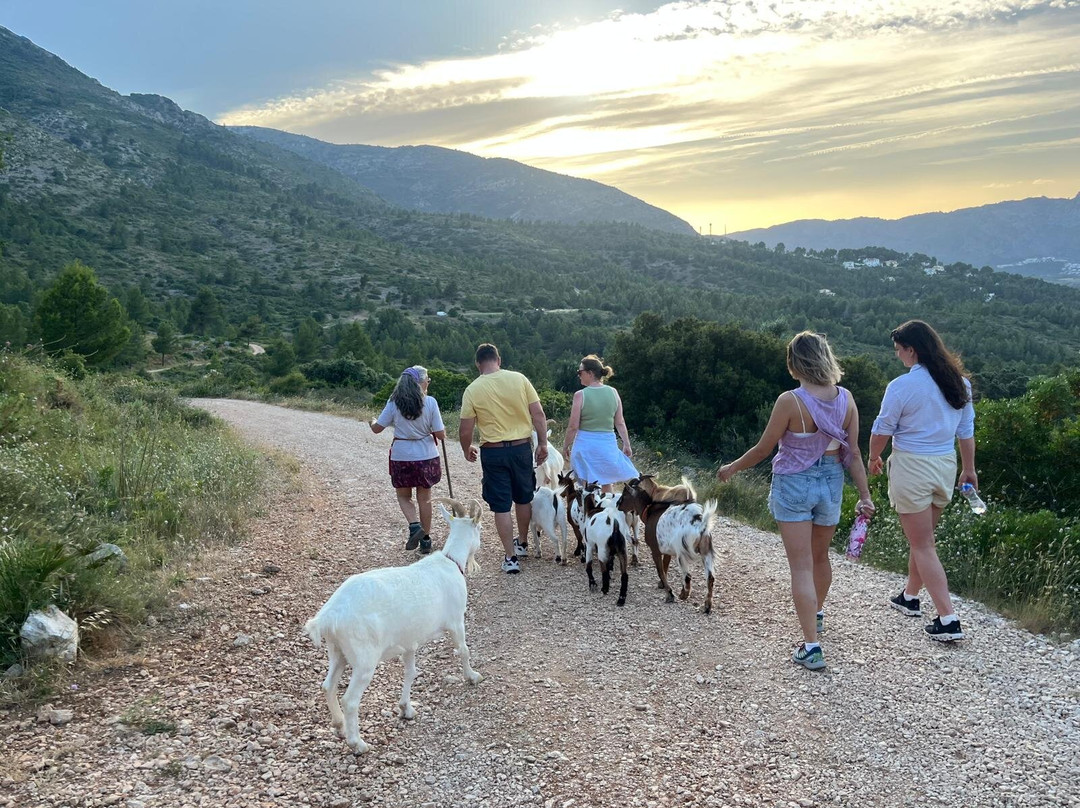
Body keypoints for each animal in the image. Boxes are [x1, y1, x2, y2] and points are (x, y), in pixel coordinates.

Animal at [304, 498, 484, 754]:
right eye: (480, 529)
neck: (450, 561)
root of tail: (328, 616)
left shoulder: (409, 642)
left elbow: (410, 672)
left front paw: (405, 708)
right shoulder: (456, 620)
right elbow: (464, 650)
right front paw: (472, 677)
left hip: (337, 652)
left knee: (328, 685)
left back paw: (339, 726)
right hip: (364, 659)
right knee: (350, 700)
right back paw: (357, 743)